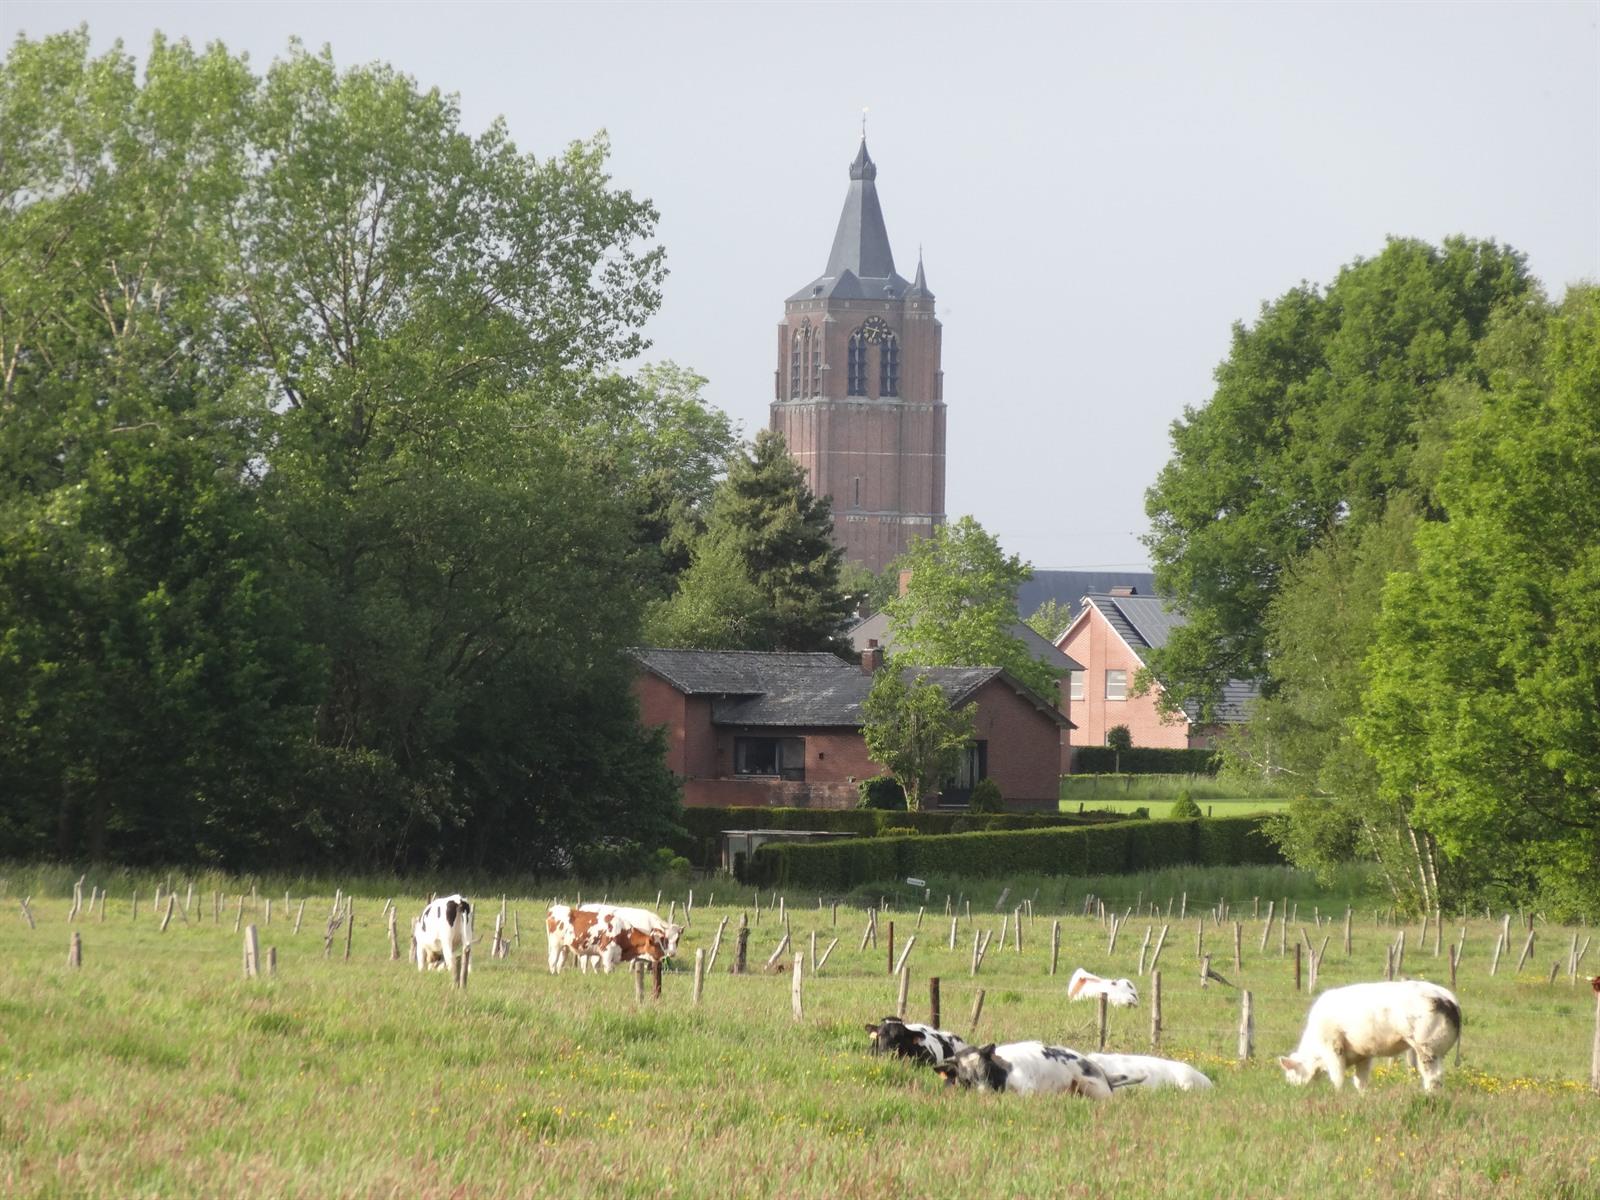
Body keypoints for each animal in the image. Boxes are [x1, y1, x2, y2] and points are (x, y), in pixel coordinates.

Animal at [1273, 979, 1465, 1094]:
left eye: (1290, 1073)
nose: (1293, 1091)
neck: (1316, 1054)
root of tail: (1449, 997)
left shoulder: (1333, 1047)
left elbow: (1337, 1076)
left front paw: (1337, 1095)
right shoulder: (1363, 1054)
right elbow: (1361, 1080)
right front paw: (1363, 1096)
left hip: (1427, 1047)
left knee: (1432, 1076)